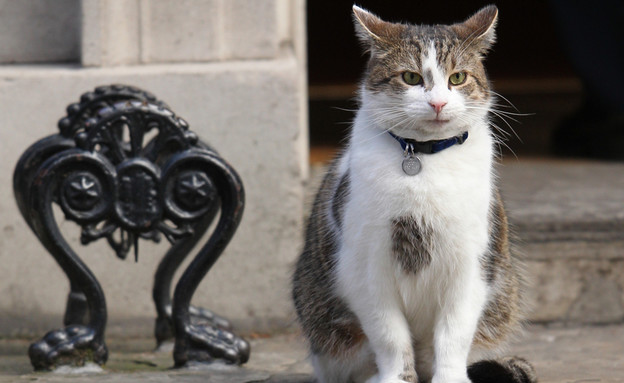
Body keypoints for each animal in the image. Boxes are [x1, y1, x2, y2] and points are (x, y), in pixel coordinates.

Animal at [292, 5, 536, 383]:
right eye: (410, 77)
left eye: (457, 78)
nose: (437, 103)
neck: (422, 158)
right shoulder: (364, 267)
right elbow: (390, 336)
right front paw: (395, 377)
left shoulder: (472, 263)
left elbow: (454, 333)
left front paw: (450, 377)